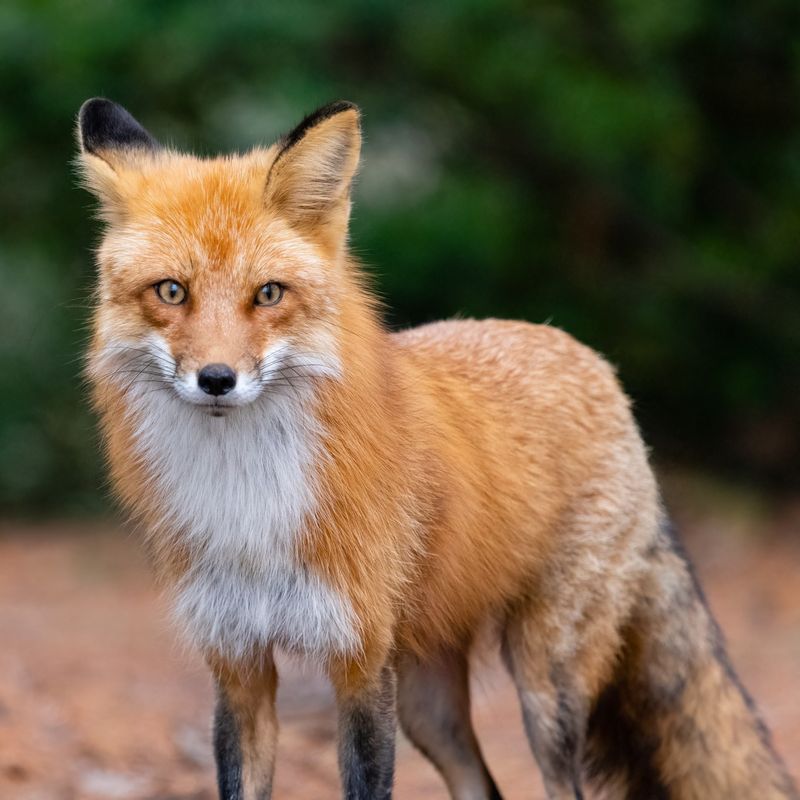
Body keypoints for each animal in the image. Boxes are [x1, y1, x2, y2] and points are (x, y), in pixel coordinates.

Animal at [76, 97, 797, 800]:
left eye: (269, 294)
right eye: (172, 292)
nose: (217, 379)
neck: (247, 501)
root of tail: (589, 358)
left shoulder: (361, 663)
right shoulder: (238, 664)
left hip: (542, 688)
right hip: (429, 703)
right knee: (483, 787)